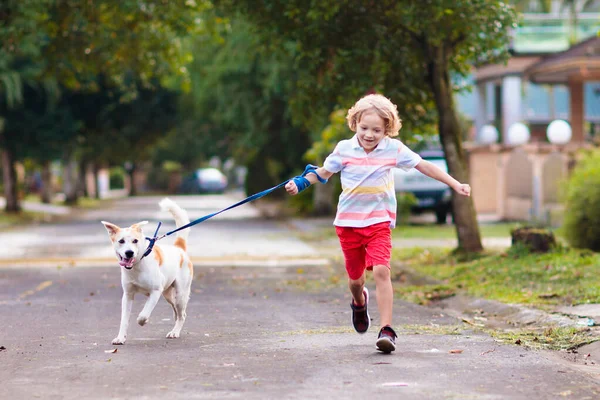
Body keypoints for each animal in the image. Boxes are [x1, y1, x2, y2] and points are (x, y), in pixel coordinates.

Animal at [101, 198, 192, 346]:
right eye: (121, 241)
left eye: (135, 241)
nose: (129, 252)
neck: (137, 266)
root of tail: (179, 248)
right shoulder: (127, 295)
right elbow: (124, 319)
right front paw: (120, 338)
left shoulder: (155, 292)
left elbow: (144, 313)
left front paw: (143, 320)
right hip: (168, 294)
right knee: (176, 312)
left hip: (180, 294)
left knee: (182, 314)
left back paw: (175, 332)